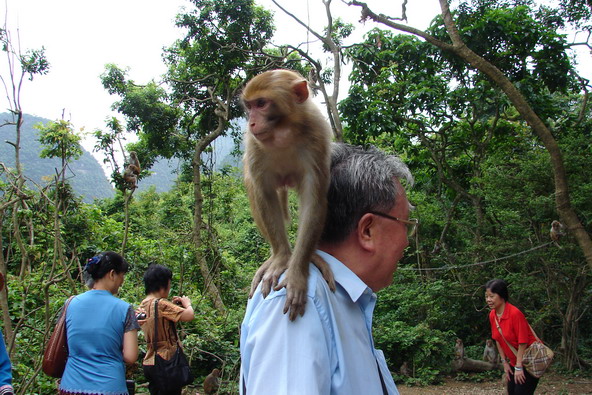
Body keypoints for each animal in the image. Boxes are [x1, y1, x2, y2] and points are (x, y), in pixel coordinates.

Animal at [239, 69, 332, 322]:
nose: (251, 122)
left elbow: (313, 199)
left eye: (261, 104)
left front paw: (297, 271)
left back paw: (312, 256)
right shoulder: (254, 143)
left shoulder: (317, 134)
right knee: (253, 184)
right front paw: (282, 258)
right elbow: (264, 193)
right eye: (249, 106)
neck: (284, 132)